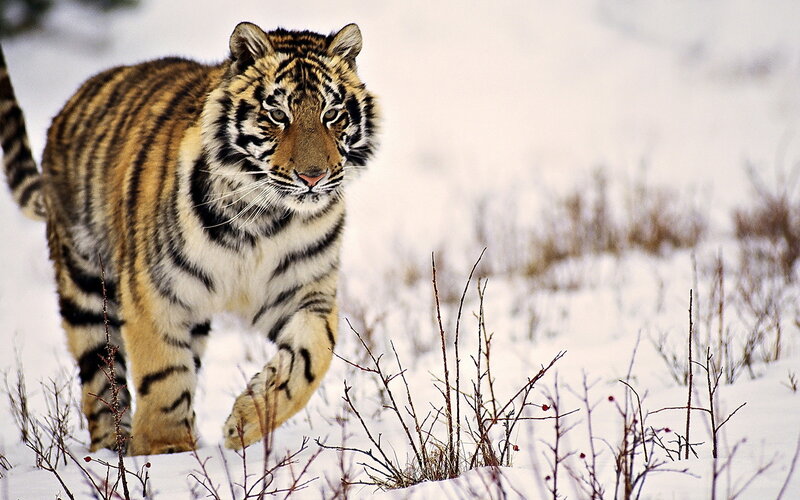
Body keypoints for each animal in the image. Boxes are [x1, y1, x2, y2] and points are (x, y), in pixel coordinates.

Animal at [0, 22, 378, 455]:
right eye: (277, 114)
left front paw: (245, 422)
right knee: (101, 381)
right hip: (86, 289)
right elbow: (163, 374)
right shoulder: (155, 292)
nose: (313, 176)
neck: (265, 218)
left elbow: (313, 356)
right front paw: (168, 451)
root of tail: (69, 105)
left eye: (331, 114)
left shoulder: (304, 291)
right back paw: (114, 451)